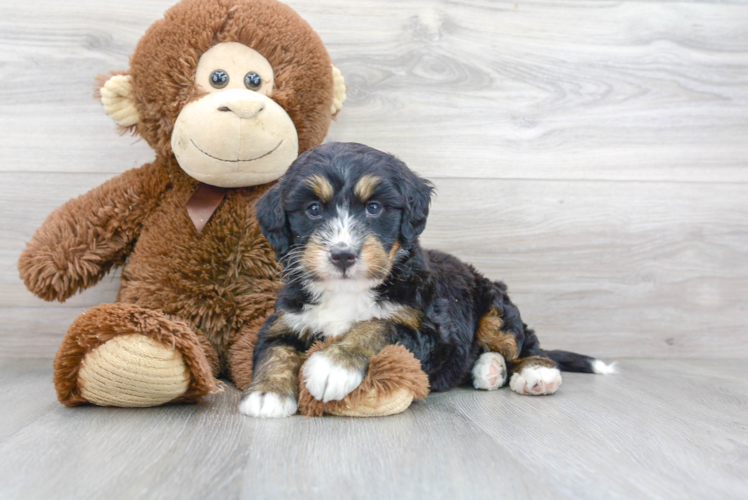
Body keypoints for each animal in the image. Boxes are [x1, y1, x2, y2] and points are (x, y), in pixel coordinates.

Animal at [240, 142, 612, 418]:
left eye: (374, 208)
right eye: (314, 209)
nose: (343, 255)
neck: (348, 290)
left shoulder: (428, 330)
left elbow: (377, 327)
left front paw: (333, 363)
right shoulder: (286, 320)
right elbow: (275, 351)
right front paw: (267, 394)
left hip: (495, 302)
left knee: (522, 341)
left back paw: (536, 372)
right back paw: (489, 370)